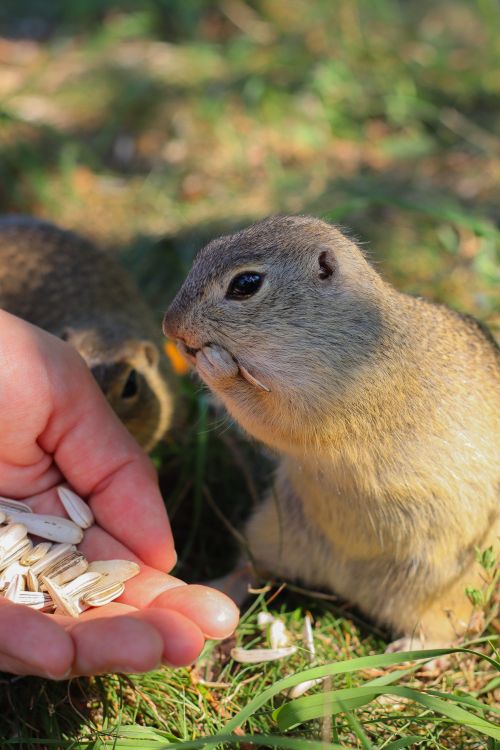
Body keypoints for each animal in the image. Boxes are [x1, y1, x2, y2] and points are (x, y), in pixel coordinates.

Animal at [163, 215, 499, 649]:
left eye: (246, 284)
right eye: (205, 251)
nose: (169, 327)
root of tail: (344, 585)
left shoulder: (328, 400)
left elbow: (268, 416)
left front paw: (214, 364)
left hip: (441, 593)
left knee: (447, 631)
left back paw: (412, 655)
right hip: (270, 529)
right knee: (253, 568)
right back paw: (217, 586)